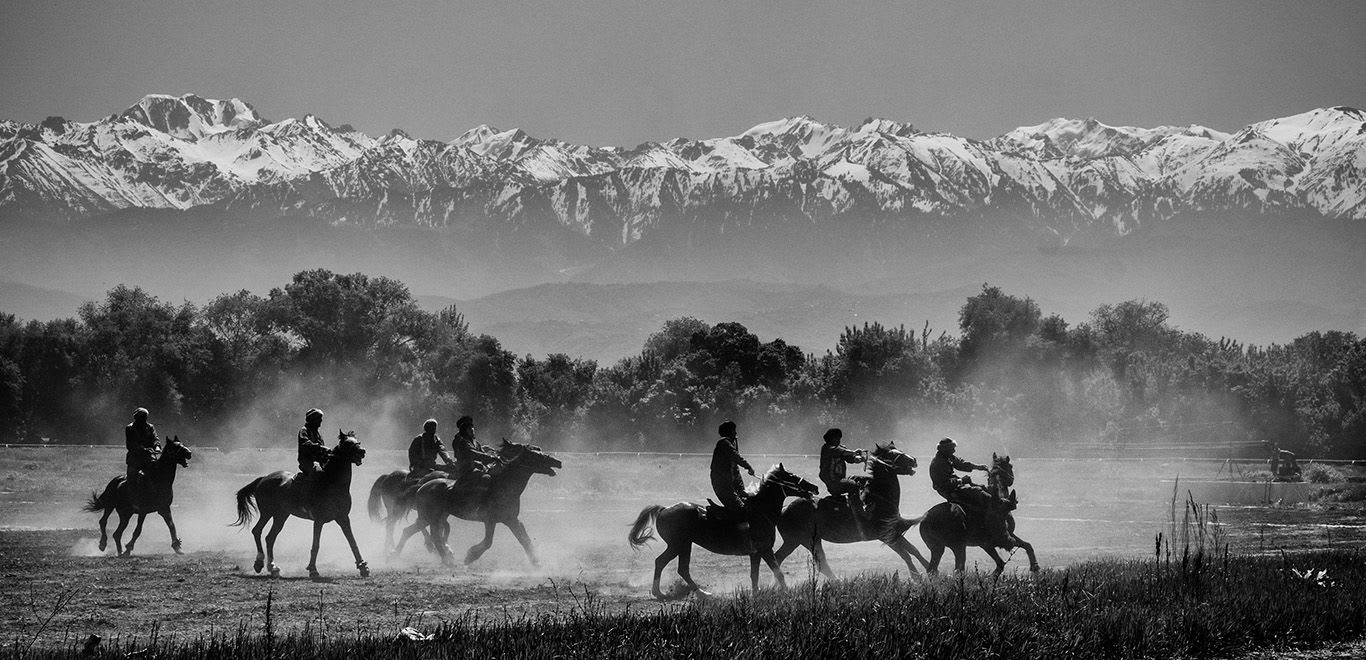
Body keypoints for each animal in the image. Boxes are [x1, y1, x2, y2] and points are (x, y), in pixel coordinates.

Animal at [233, 429, 371, 579]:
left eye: (358, 442)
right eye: (347, 443)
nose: (362, 451)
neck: (331, 483)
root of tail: (263, 479)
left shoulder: (343, 518)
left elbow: (352, 542)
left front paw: (363, 567)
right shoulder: (319, 520)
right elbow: (316, 545)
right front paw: (313, 570)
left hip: (281, 516)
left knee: (270, 538)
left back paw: (273, 567)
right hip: (267, 513)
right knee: (257, 531)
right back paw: (259, 563)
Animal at [393, 442, 562, 565]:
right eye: (537, 455)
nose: (558, 461)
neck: (503, 485)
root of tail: (420, 486)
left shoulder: (512, 519)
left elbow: (524, 539)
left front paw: (536, 562)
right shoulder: (490, 520)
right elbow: (488, 542)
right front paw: (471, 556)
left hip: (429, 518)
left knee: (411, 531)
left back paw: (397, 553)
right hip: (430, 518)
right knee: (432, 536)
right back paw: (446, 559)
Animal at [625, 464, 814, 598]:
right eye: (792, 476)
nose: (814, 487)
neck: (761, 511)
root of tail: (664, 509)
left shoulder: (756, 553)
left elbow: (755, 575)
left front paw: (756, 593)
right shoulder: (765, 550)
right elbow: (778, 573)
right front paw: (786, 592)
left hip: (684, 546)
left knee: (681, 569)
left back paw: (701, 593)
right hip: (678, 545)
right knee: (663, 562)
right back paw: (660, 592)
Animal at [775, 445, 934, 579]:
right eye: (892, 454)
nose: (913, 460)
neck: (878, 498)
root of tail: (783, 510)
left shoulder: (893, 532)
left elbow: (913, 549)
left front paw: (931, 570)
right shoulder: (885, 536)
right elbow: (905, 554)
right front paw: (916, 577)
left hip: (803, 540)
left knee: (784, 559)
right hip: (802, 540)